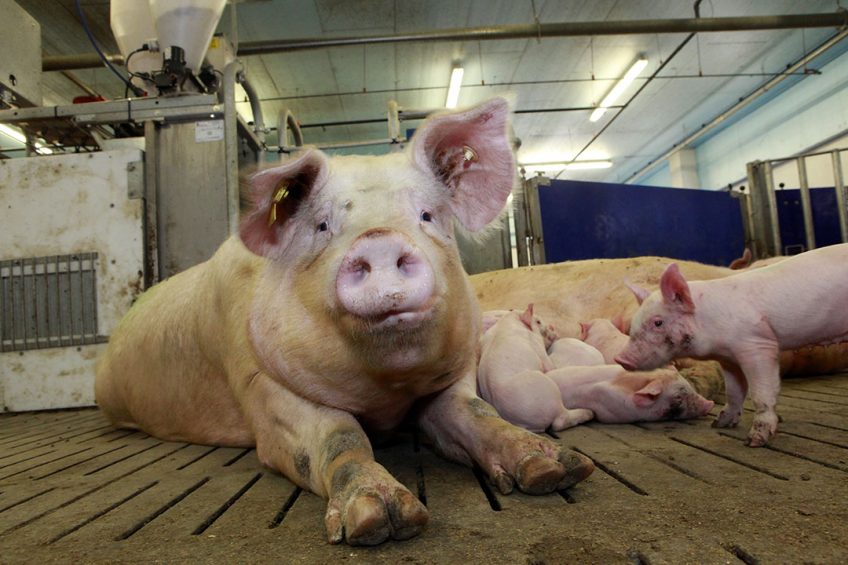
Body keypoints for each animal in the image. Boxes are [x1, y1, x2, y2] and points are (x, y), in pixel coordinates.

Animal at [94, 99, 596, 544]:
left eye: (427, 215)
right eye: (321, 226)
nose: (379, 239)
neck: (385, 393)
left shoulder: (454, 375)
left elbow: (475, 411)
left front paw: (555, 469)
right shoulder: (258, 382)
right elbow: (339, 437)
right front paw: (381, 519)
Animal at [616, 245, 848, 448]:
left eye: (658, 322)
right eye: (634, 322)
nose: (620, 358)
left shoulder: (758, 345)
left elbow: (761, 392)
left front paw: (754, 441)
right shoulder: (728, 359)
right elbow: (734, 392)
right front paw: (718, 424)